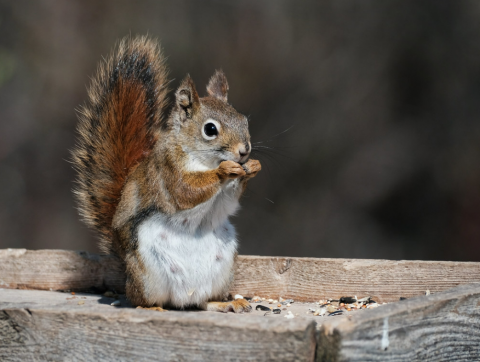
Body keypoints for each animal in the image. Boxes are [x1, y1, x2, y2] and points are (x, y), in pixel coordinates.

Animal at [71, 36, 260, 312]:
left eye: (244, 120)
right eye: (210, 129)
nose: (244, 151)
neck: (202, 159)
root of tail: (184, 297)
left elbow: (227, 201)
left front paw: (252, 168)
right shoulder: (167, 170)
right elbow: (185, 191)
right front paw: (224, 171)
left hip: (222, 267)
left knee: (203, 302)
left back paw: (224, 303)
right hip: (147, 273)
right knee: (140, 299)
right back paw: (151, 307)